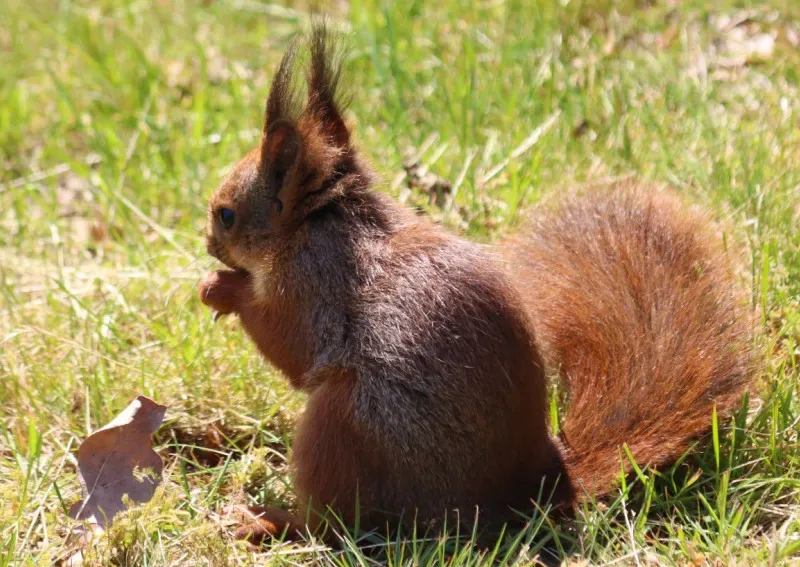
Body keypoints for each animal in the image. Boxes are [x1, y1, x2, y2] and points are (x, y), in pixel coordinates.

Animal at [198, 25, 755, 544]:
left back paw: (269, 522)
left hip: (343, 427)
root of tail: (528, 493)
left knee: (335, 524)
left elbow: (291, 345)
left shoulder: (313, 286)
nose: (208, 244)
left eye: (226, 214)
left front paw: (222, 288)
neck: (319, 224)